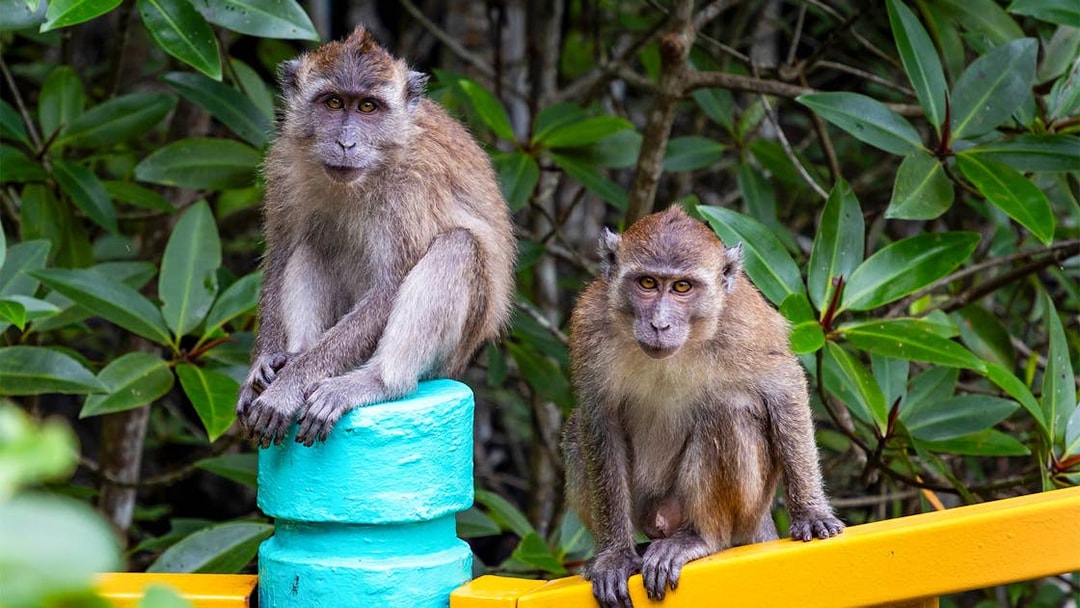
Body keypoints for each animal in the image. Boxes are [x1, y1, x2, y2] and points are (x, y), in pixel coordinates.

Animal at [234, 26, 516, 448]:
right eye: (334, 103)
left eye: (368, 107)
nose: (345, 143)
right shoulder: (283, 164)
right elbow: (281, 254)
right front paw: (265, 365)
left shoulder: (411, 188)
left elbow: (390, 286)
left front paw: (288, 387)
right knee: (314, 242)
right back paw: (295, 354)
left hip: (450, 354)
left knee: (458, 247)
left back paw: (376, 381)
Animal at [561, 206, 843, 608]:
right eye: (647, 283)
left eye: (682, 287)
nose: (659, 324)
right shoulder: (590, 325)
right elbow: (599, 419)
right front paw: (614, 555)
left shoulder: (745, 325)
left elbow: (782, 385)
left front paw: (810, 511)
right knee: (575, 432)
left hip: (745, 508)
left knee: (727, 412)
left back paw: (700, 539)